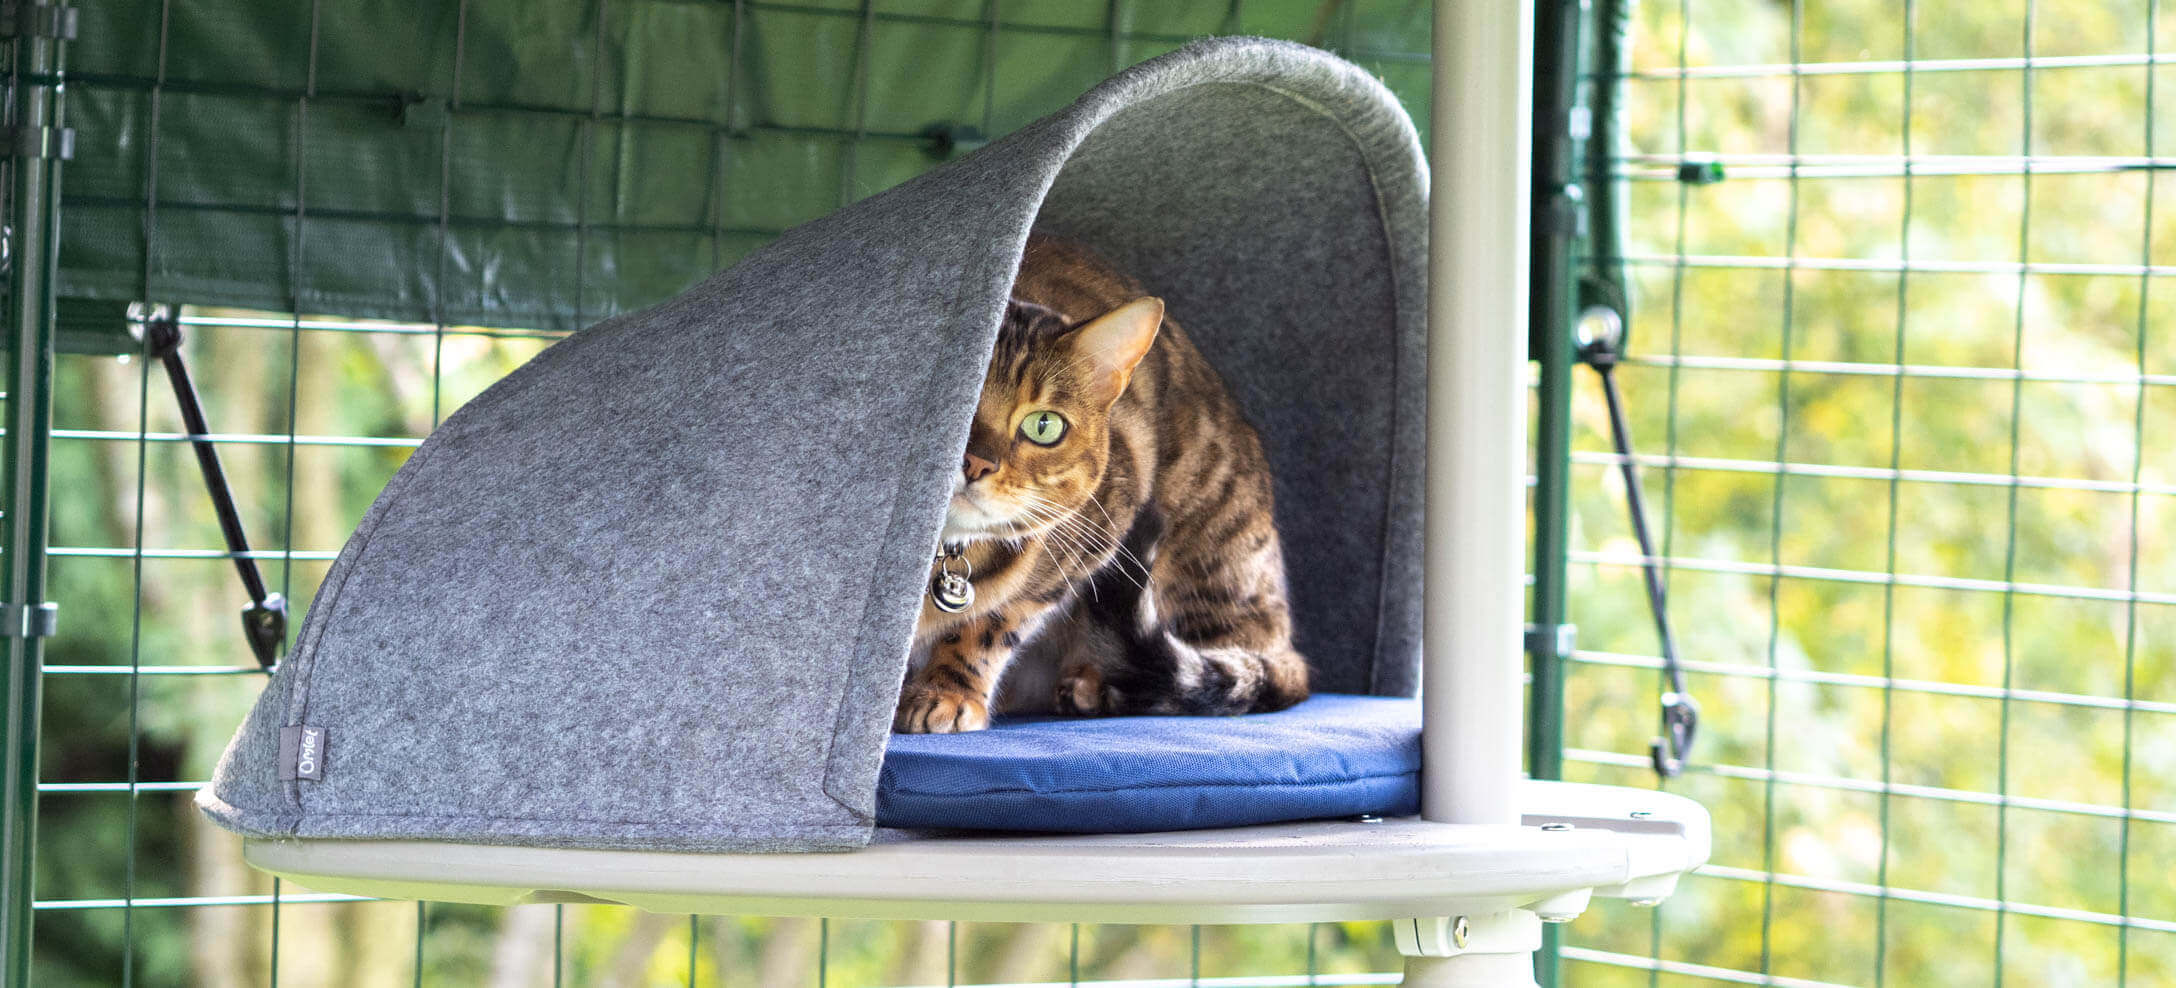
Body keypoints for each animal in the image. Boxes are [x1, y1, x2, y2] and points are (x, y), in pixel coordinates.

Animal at [887, 237, 1305, 731]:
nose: (976, 463)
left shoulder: (1101, 527)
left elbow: (994, 626)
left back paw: (1094, 687)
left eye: (1043, 425)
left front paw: (948, 691)